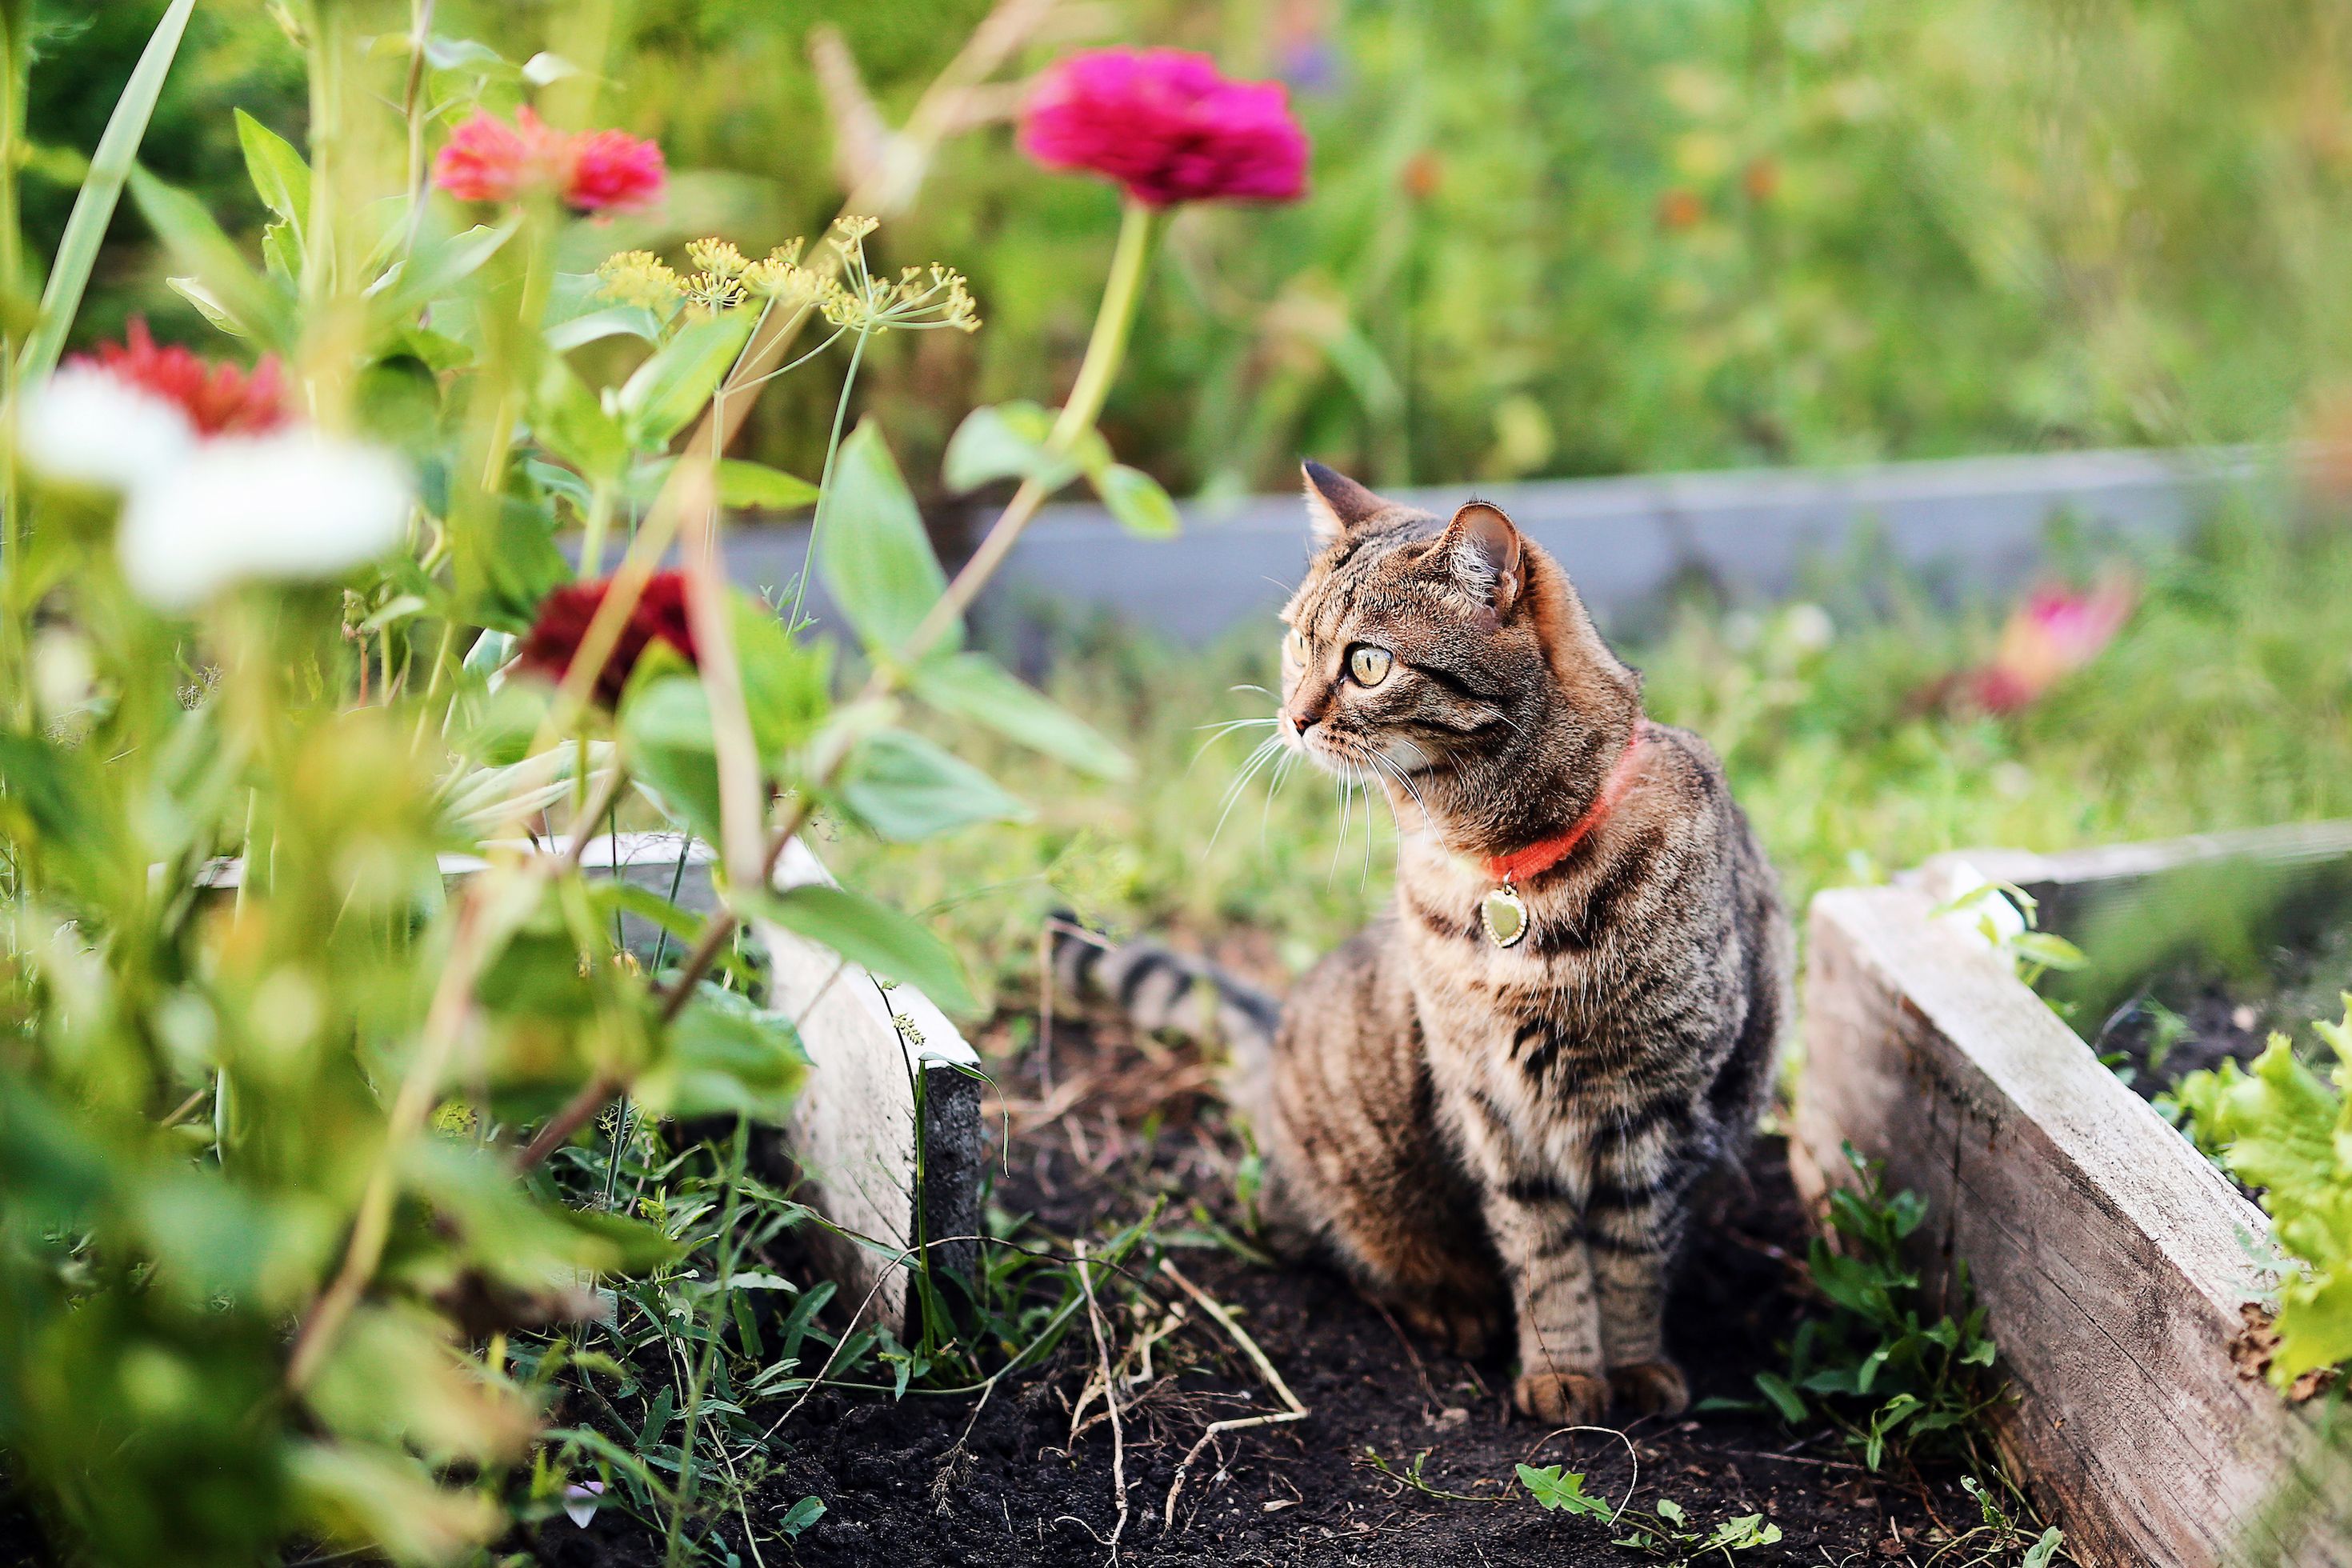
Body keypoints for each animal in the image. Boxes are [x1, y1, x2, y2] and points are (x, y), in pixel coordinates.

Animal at [1058, 460, 1787, 1429]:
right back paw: (1452, 1303)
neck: (1507, 874)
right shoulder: (1494, 1108)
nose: (1292, 717)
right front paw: (1562, 1375)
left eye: (1368, 663)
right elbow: (1546, 1256)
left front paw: (1633, 1368)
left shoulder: (1654, 1111)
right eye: (1297, 644)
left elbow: (1631, 1258)